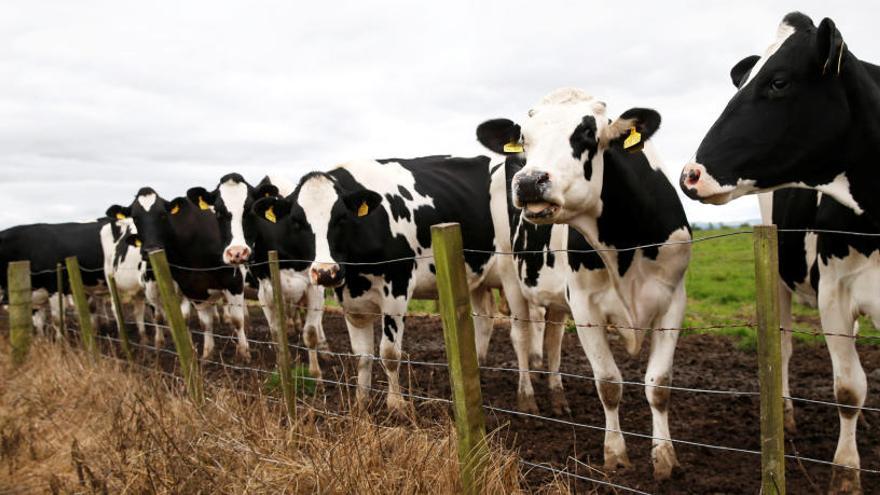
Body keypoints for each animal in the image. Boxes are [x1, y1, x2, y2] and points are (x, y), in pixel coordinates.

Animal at [108, 188, 251, 362]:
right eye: (135, 217)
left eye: (163, 214)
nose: (150, 250)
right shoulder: (190, 288)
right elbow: (198, 322)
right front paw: (202, 353)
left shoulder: (233, 281)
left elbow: (237, 320)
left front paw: (244, 354)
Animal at [184, 174, 328, 380]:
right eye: (218, 212)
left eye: (248, 210)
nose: (237, 253)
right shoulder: (266, 291)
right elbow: (276, 332)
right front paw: (282, 366)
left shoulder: (315, 284)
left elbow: (311, 332)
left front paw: (316, 374)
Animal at [248, 157, 524, 412]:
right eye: (297, 222)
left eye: (341, 218)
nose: (326, 272)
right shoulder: (350, 299)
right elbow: (362, 355)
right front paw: (361, 403)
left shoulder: (397, 287)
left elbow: (389, 353)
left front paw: (396, 404)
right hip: (477, 277)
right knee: (484, 319)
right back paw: (476, 370)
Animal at [478, 88, 692, 480]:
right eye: (525, 140)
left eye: (588, 134)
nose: (528, 181)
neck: (625, 244)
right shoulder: (585, 305)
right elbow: (608, 384)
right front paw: (616, 455)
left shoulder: (673, 300)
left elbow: (659, 385)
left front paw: (665, 458)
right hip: (510, 274)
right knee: (521, 336)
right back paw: (528, 399)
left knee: (552, 341)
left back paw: (558, 397)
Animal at [680, 13, 880, 490]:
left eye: (778, 81)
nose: (691, 174)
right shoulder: (834, 292)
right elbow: (848, 389)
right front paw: (846, 474)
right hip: (778, 281)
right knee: (784, 349)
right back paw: (786, 414)